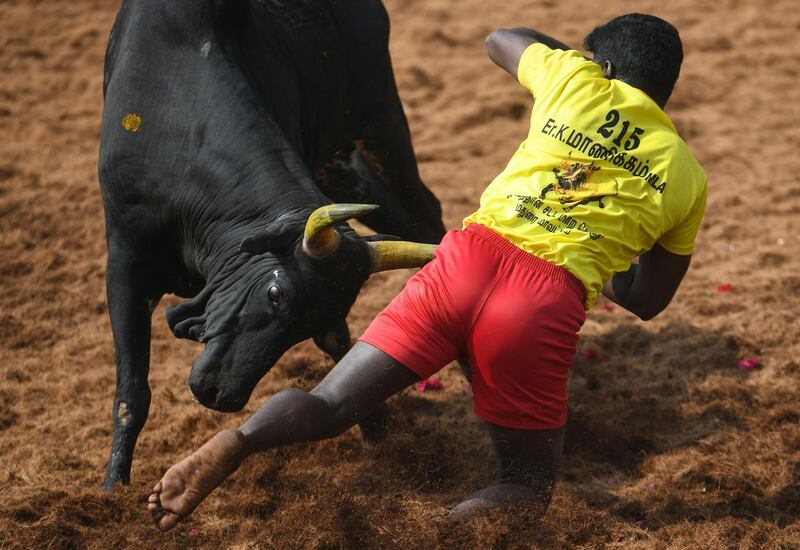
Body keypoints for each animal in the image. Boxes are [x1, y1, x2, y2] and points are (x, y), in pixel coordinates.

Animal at [98, 0, 444, 492]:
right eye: (275, 293)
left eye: (301, 326)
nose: (220, 394)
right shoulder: (125, 259)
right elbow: (131, 393)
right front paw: (114, 488)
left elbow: (339, 346)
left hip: (375, 124)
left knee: (424, 215)